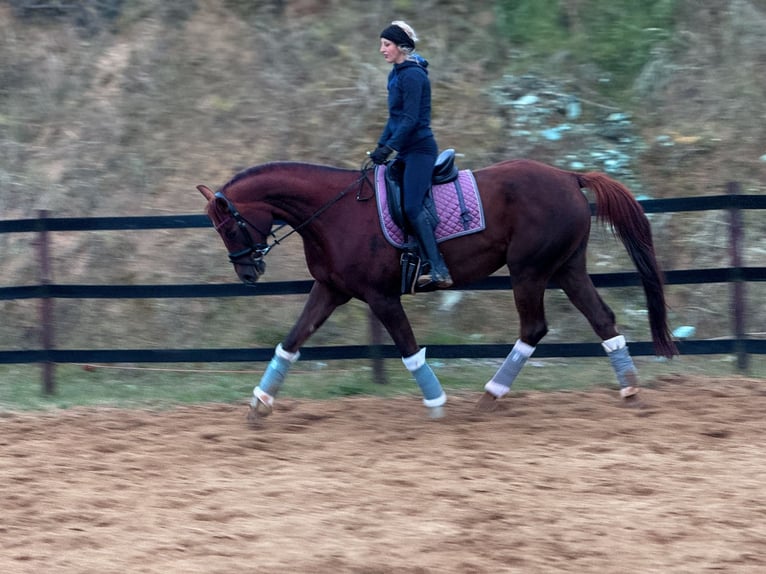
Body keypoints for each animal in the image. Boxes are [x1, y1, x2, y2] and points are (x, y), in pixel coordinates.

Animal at [197, 157, 678, 419]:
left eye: (229, 226)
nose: (247, 274)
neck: (334, 213)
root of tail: (566, 176)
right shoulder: (330, 290)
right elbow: (292, 341)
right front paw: (259, 405)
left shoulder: (381, 297)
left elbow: (409, 349)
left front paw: (437, 404)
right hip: (565, 268)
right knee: (602, 319)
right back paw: (630, 391)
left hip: (529, 271)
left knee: (534, 328)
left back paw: (490, 395)